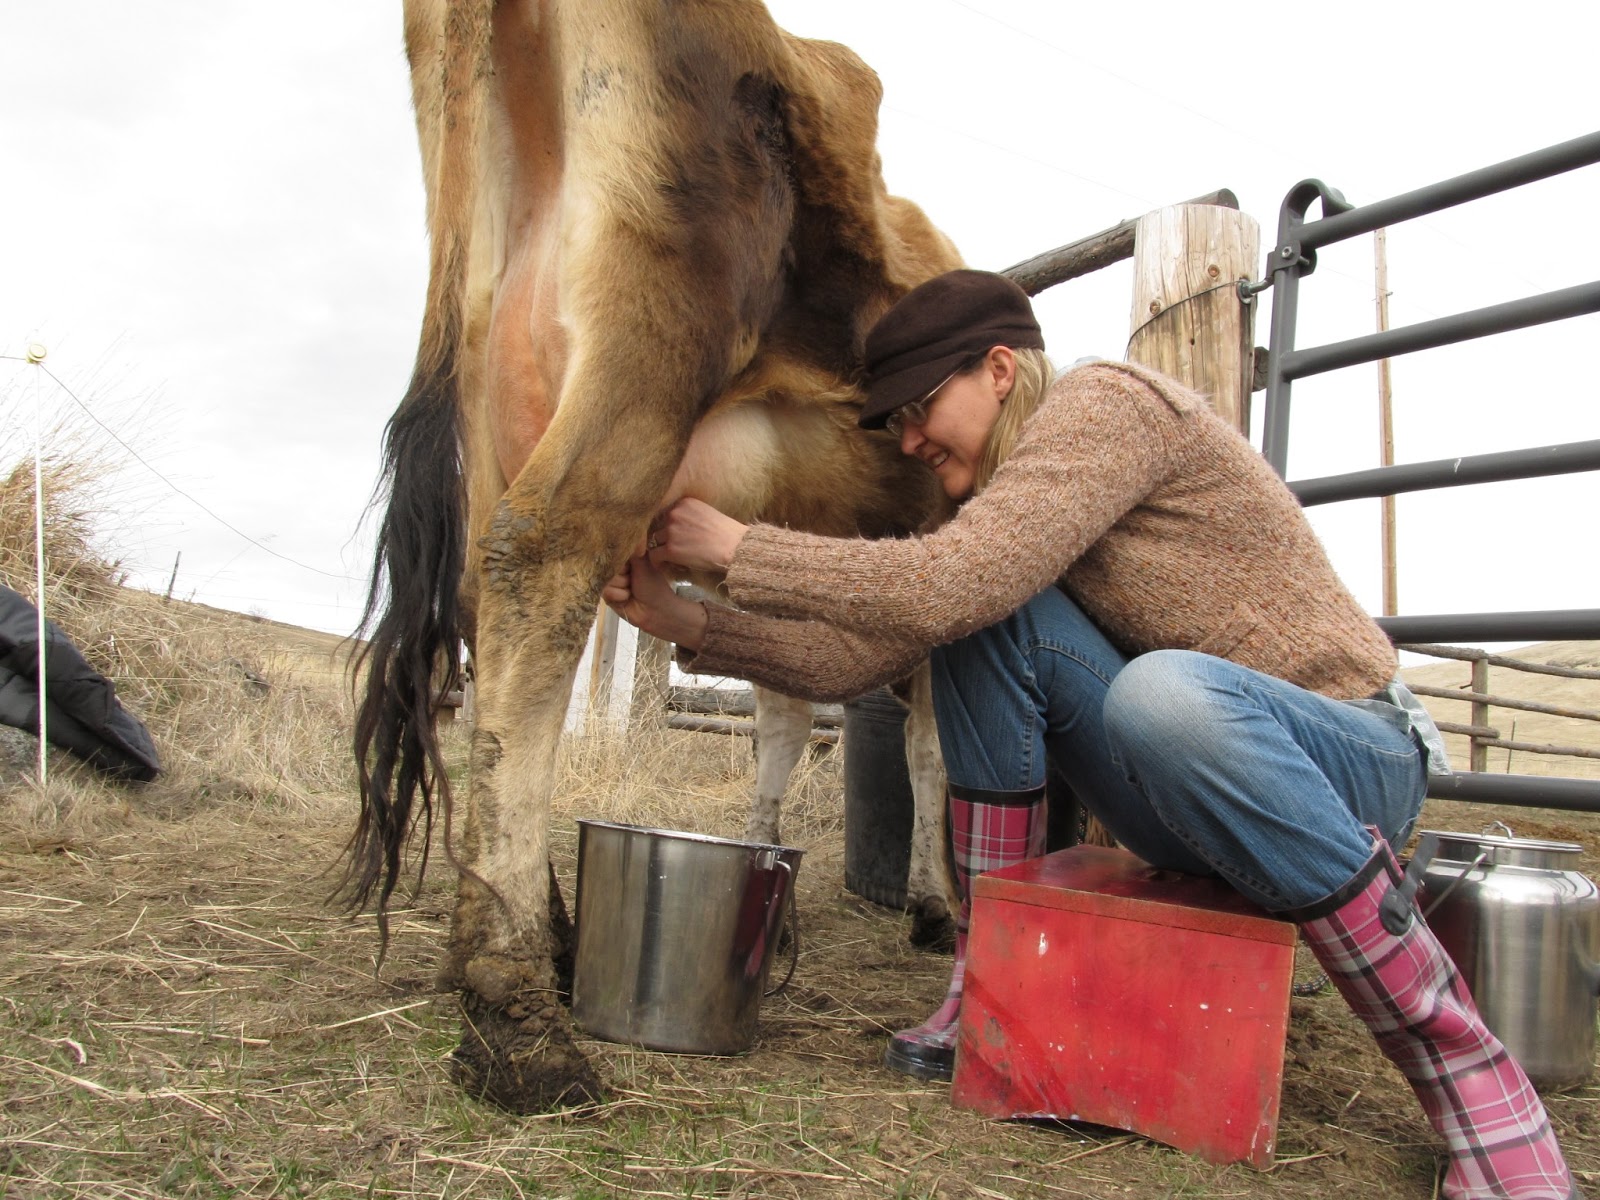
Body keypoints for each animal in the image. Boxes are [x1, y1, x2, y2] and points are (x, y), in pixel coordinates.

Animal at [345, 0, 964, 1112]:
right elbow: (931, 742)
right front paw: (938, 904)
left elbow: (783, 721)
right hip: (657, 329)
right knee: (541, 551)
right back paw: (516, 1017)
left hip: (492, 361)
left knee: (478, 608)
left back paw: (532, 931)